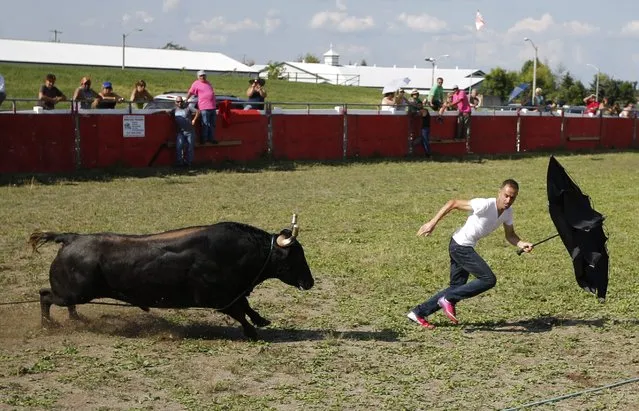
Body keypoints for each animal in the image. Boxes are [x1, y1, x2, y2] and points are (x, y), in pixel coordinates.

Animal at [30, 220, 316, 340]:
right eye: (295, 257)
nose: (310, 282)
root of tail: (72, 238)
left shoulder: (233, 292)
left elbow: (245, 306)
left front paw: (261, 321)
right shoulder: (218, 298)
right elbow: (239, 310)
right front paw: (253, 332)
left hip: (76, 293)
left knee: (62, 301)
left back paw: (76, 319)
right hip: (73, 291)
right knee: (45, 295)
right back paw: (47, 325)